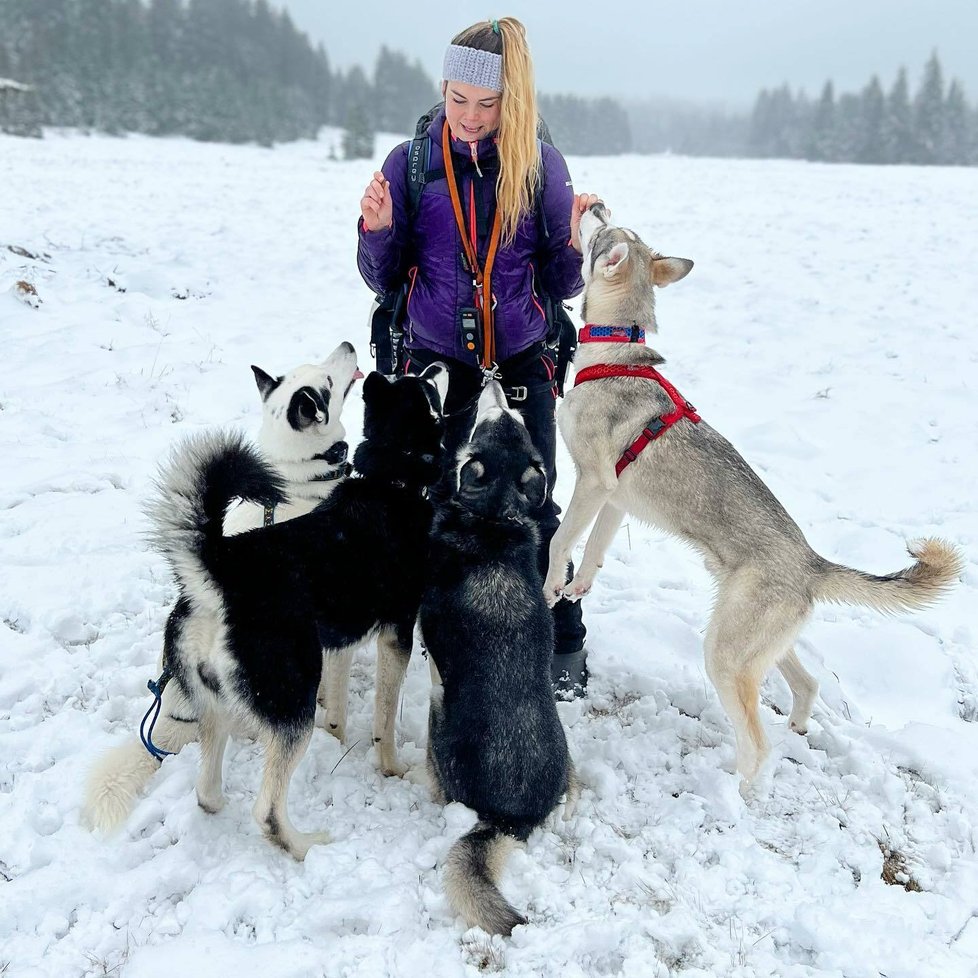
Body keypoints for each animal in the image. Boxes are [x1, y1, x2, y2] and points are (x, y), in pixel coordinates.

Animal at [104, 366, 446, 856]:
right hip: (292, 701)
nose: (434, 366)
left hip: (218, 704)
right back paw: (306, 846)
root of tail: (219, 574)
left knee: (206, 791)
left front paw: (337, 735)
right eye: (427, 388)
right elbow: (384, 719)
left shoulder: (339, 641)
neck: (390, 481)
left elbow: (338, 704)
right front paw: (391, 767)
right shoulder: (396, 633)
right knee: (266, 810)